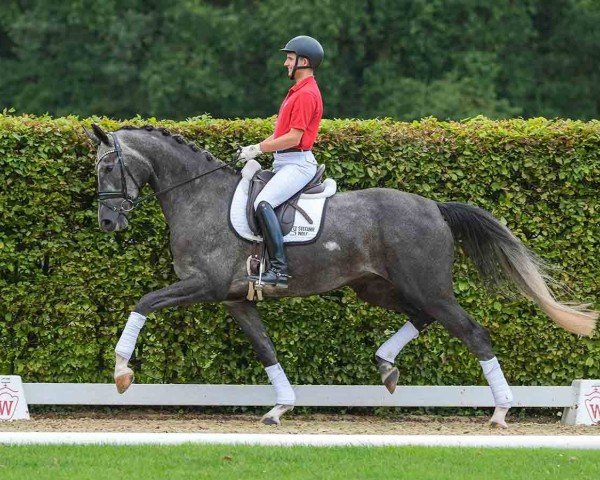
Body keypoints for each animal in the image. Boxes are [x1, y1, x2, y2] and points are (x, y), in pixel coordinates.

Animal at [84, 123, 596, 428]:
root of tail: (434, 207)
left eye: (108, 166)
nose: (107, 222)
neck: (199, 197)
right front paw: (280, 406)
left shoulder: (202, 286)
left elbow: (143, 302)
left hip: (428, 286)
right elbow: (266, 349)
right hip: (378, 287)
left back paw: (501, 411)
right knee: (422, 318)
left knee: (473, 332)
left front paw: (122, 372)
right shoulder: (236, 300)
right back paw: (387, 367)